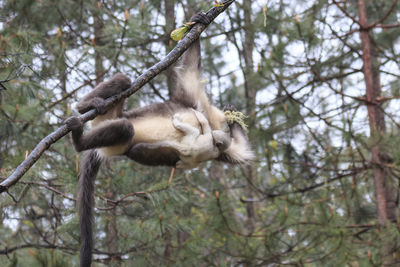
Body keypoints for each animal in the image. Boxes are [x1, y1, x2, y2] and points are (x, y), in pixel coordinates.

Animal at [65, 13, 253, 267]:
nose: (219, 137)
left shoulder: (213, 133)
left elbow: (241, 152)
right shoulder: (194, 102)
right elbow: (190, 69)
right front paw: (198, 22)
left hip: (115, 137)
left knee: (124, 129)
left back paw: (79, 140)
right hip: (111, 114)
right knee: (123, 83)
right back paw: (86, 106)